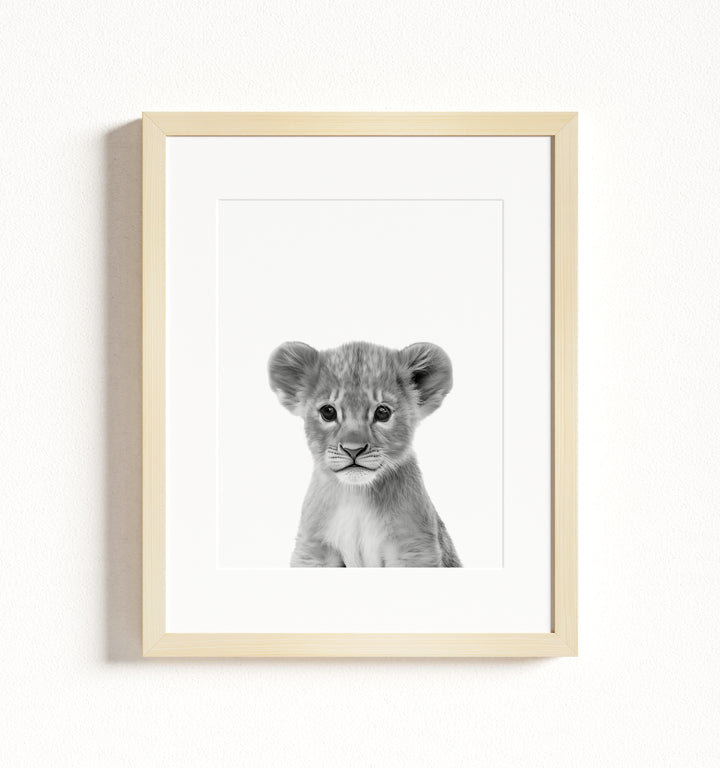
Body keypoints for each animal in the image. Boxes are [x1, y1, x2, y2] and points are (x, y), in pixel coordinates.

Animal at [268, 340, 462, 567]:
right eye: (328, 412)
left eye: (382, 412)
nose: (353, 450)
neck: (357, 495)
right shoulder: (313, 549)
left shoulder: (414, 547)